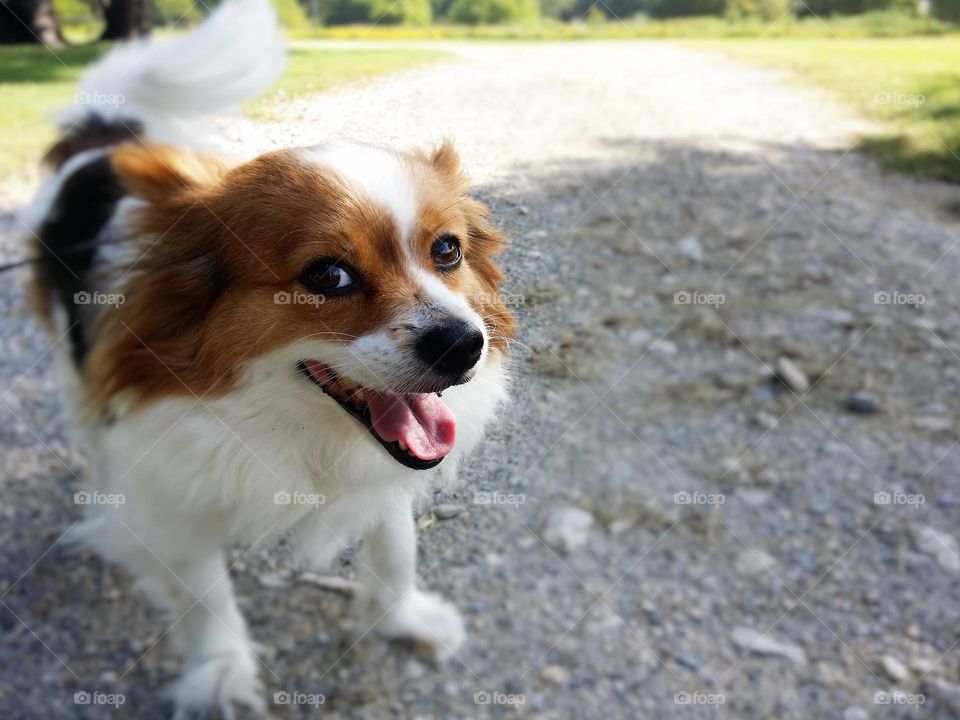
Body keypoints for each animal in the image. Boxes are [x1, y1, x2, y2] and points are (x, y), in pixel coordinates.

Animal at [20, 2, 516, 716]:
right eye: (328, 275)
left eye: (447, 250)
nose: (461, 343)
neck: (283, 416)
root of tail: (104, 142)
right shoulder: (172, 487)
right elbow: (205, 596)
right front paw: (222, 674)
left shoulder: (385, 469)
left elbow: (397, 546)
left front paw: (402, 618)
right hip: (72, 368)